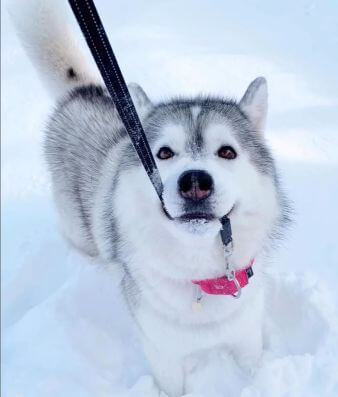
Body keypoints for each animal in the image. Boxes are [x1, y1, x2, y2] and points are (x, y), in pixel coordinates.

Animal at [10, 1, 290, 394]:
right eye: (164, 153)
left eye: (227, 152)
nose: (195, 182)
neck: (201, 276)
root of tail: (85, 92)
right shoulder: (162, 352)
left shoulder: (247, 335)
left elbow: (251, 367)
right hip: (78, 231)